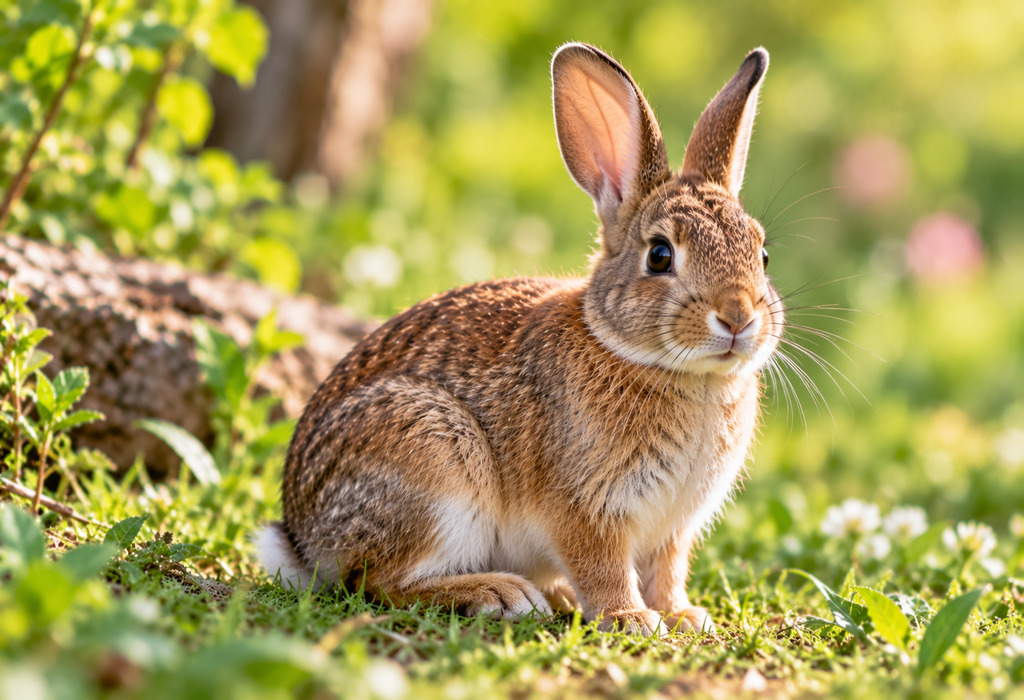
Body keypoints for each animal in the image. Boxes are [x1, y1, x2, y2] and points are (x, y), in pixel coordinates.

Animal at [257, 42, 781, 637]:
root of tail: (301, 539)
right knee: (375, 581)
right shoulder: (587, 508)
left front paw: (683, 616)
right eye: (660, 255)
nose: (737, 318)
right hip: (434, 461)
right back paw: (500, 593)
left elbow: (666, 571)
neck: (680, 372)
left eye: (763, 254)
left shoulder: (672, 529)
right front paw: (631, 619)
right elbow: (602, 565)